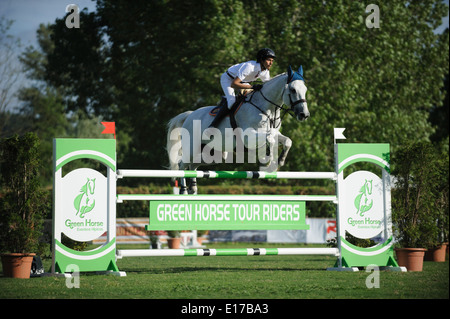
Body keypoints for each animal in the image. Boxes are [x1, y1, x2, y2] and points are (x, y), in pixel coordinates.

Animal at [166, 66, 310, 194]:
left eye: (305, 89)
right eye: (292, 89)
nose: (304, 115)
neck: (266, 108)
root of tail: (189, 115)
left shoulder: (274, 133)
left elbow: (287, 140)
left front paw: (280, 160)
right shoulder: (248, 137)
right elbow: (270, 137)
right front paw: (269, 161)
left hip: (214, 155)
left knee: (193, 165)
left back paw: (193, 188)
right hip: (192, 148)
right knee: (182, 164)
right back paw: (184, 190)